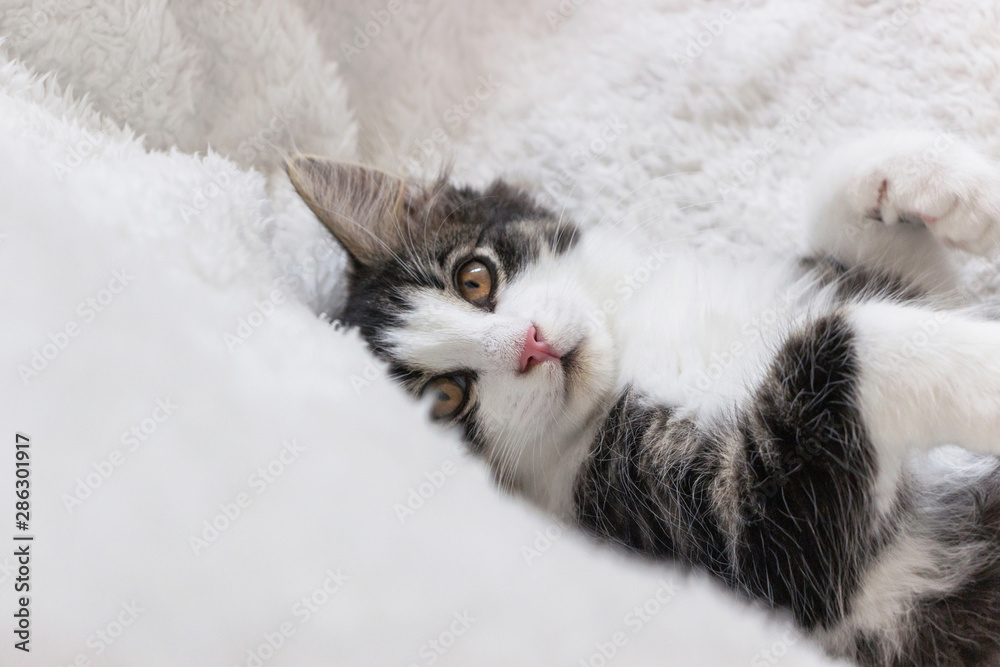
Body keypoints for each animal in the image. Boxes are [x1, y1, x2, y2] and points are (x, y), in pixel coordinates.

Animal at [292, 132, 1000, 667]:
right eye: (444, 401)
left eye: (474, 279)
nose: (531, 346)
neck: (631, 354)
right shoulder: (751, 546)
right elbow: (852, 338)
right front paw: (988, 372)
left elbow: (900, 273)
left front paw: (925, 176)